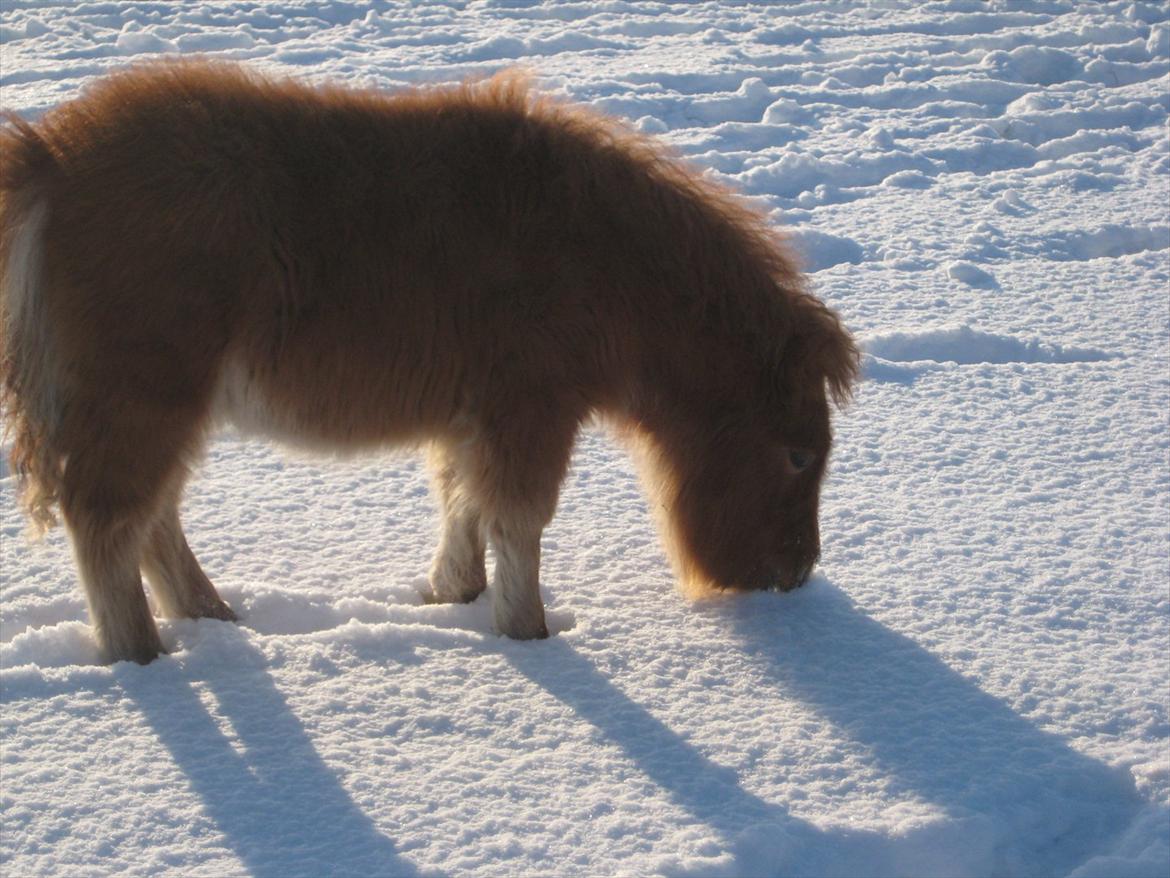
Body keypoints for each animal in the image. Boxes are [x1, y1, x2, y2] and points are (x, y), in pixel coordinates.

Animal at [2, 63, 861, 664]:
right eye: (797, 455)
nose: (794, 576)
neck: (605, 256)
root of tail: (51, 157)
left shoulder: (471, 414)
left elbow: (461, 500)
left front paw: (454, 596)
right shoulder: (529, 410)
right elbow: (517, 518)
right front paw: (528, 633)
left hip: (171, 409)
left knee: (154, 523)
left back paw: (213, 620)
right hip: (145, 403)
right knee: (111, 525)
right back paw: (143, 658)